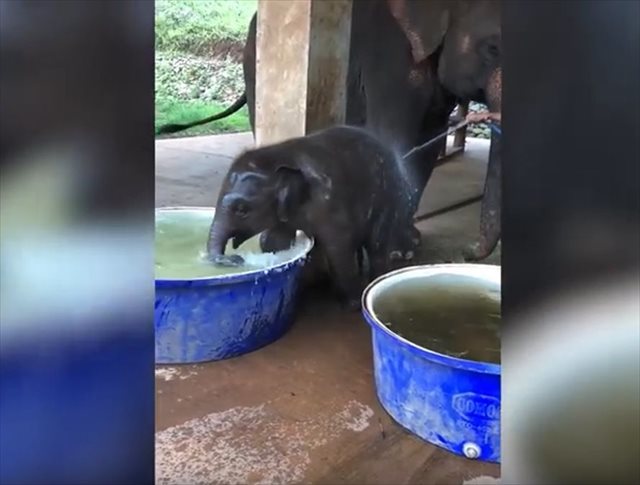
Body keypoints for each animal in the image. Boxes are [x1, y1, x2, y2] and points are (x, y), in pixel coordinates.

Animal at [159, 0, 500, 260]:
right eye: (493, 48)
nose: (467, 253)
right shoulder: (390, 57)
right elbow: (395, 136)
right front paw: (399, 250)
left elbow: (427, 142)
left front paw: (407, 244)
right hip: (253, 64)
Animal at [208, 124, 418, 306]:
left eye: (242, 210)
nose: (237, 259)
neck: (280, 153)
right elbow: (275, 241)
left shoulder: (330, 202)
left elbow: (338, 245)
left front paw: (353, 302)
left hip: (389, 198)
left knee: (376, 243)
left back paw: (374, 280)